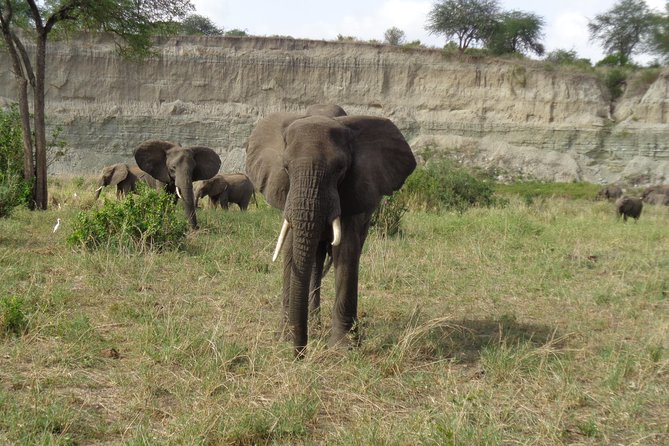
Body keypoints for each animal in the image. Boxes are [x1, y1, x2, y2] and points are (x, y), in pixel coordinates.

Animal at [246, 111, 416, 357]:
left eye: (340, 169)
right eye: (286, 167)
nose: (300, 355)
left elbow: (346, 252)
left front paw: (343, 349)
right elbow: (290, 250)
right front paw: (285, 338)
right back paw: (314, 323)